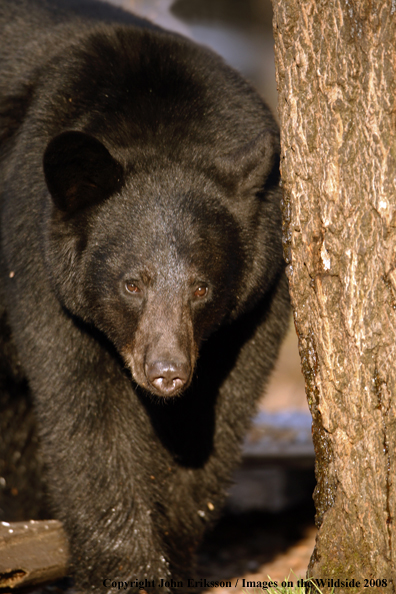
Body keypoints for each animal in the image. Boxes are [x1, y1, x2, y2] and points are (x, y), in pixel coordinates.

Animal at [0, 0, 290, 588]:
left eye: (202, 287)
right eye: (132, 283)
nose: (166, 372)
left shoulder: (255, 307)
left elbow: (212, 418)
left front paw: (174, 555)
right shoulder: (41, 270)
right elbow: (88, 413)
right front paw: (125, 569)